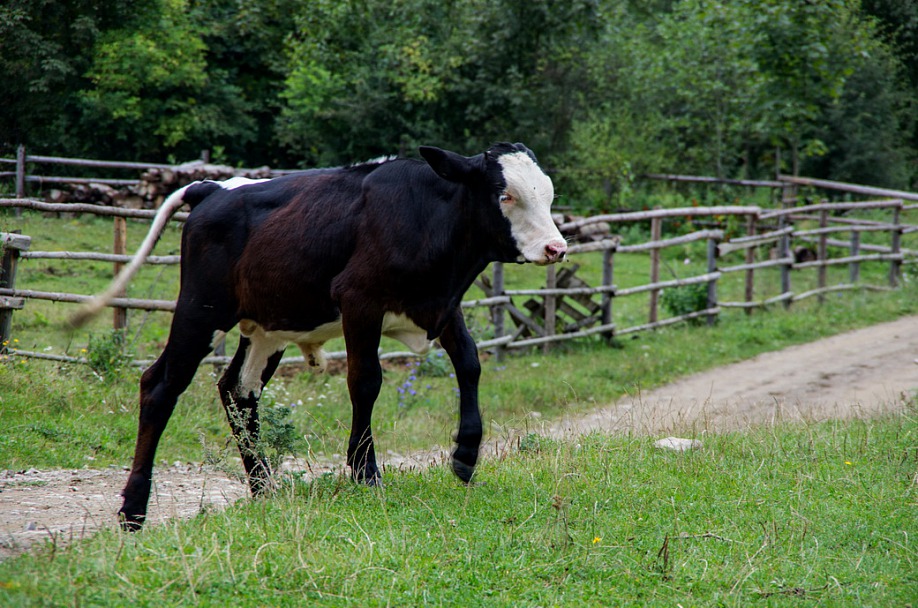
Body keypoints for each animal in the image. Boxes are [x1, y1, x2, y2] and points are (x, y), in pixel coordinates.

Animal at [72, 141, 568, 528]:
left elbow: (469, 363)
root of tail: (214, 188)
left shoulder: (443, 306)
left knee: (238, 389)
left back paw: (264, 490)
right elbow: (366, 381)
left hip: (267, 327)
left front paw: (465, 453)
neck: (427, 217)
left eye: (547, 195)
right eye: (505, 195)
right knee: (160, 384)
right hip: (201, 309)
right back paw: (134, 509)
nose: (557, 247)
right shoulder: (359, 301)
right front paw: (365, 472)